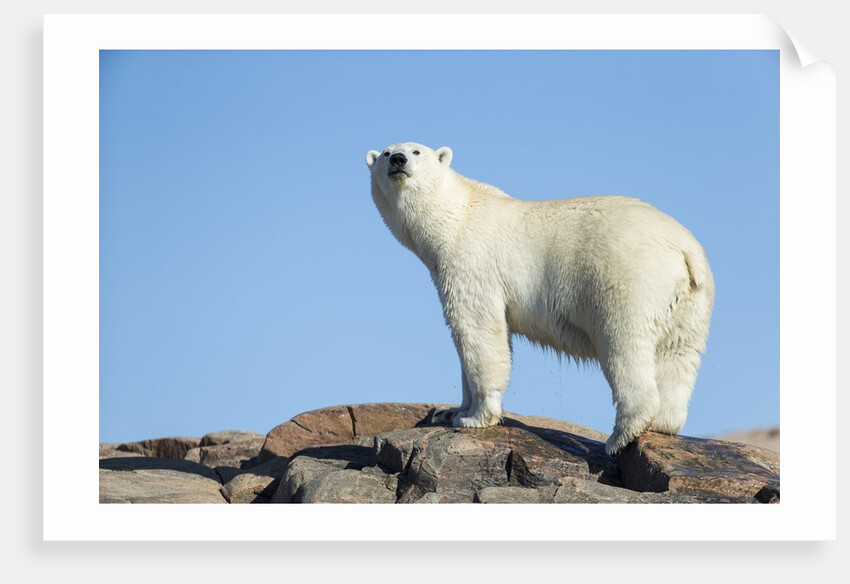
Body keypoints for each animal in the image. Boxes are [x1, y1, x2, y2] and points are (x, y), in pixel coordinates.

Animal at [365, 142, 715, 455]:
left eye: (416, 151)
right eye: (386, 153)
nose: (397, 160)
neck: (454, 217)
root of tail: (685, 249)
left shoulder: (472, 263)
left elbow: (478, 332)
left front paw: (476, 418)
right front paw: (452, 411)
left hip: (628, 278)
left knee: (625, 345)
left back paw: (620, 436)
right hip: (690, 300)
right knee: (679, 353)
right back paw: (664, 423)